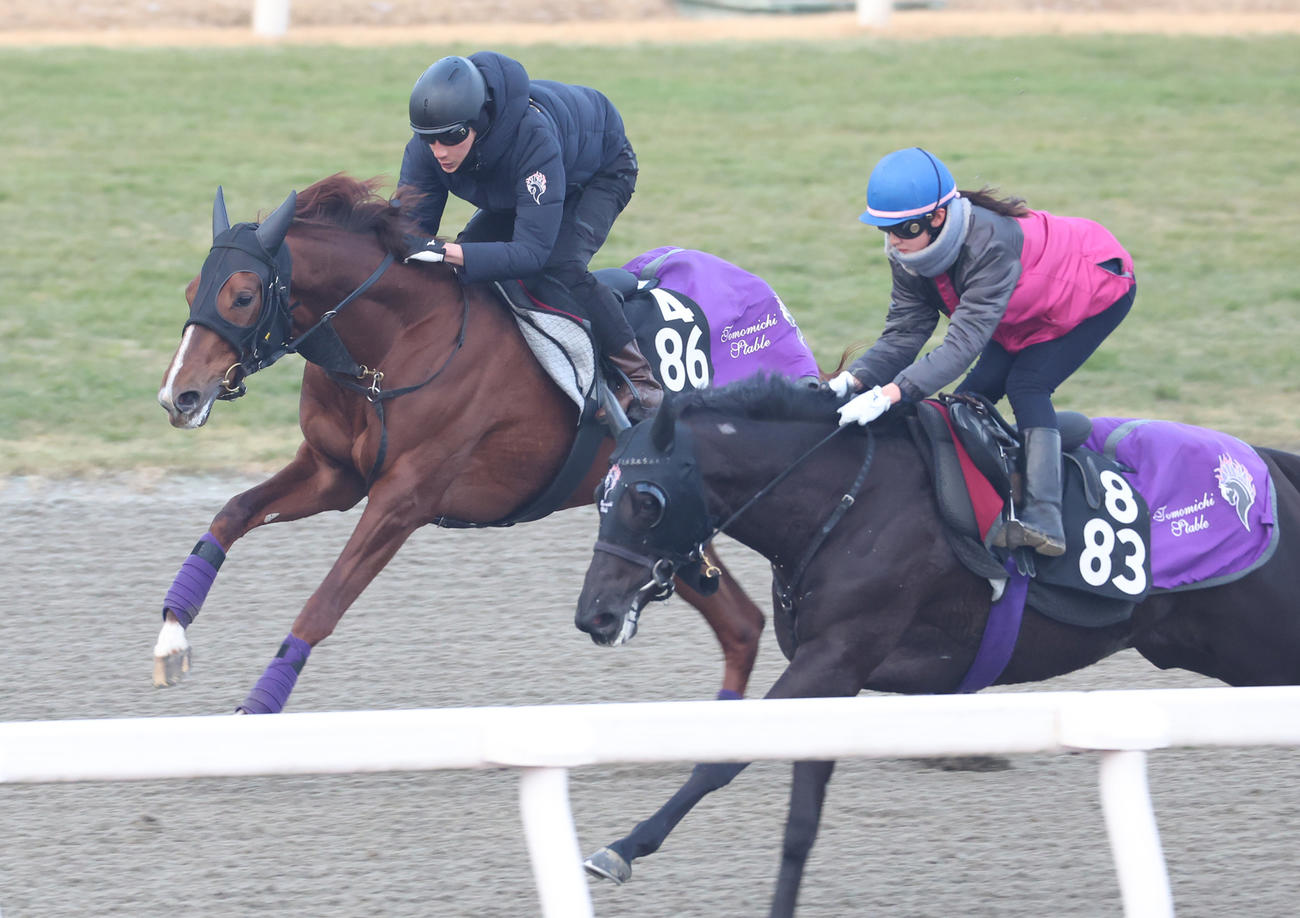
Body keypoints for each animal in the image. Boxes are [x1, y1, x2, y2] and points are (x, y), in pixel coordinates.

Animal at [152, 173, 774, 712]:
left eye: (242, 296)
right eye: (190, 289)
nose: (178, 395)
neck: (395, 346)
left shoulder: (402, 500)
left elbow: (321, 605)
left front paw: (257, 708)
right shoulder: (334, 474)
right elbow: (231, 515)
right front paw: (171, 637)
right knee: (743, 625)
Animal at [573, 374, 1300, 918]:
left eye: (644, 500)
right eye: (600, 496)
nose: (594, 615)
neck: (850, 500)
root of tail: (1270, 465)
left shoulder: (838, 655)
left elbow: (722, 759)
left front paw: (622, 849)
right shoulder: (833, 675)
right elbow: (800, 823)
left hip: (1259, 642)